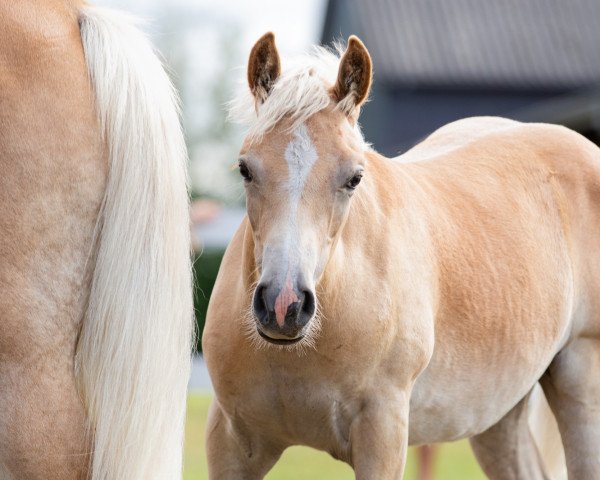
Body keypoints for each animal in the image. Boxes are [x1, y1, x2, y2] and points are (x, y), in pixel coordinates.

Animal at [203, 31, 600, 478]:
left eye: (354, 178)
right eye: (245, 169)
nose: (284, 304)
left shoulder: (384, 435)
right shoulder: (230, 443)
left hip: (580, 375)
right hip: (499, 416)